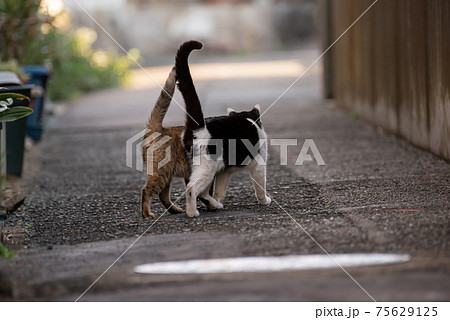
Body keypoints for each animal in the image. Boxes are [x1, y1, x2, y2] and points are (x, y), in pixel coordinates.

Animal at [174, 40, 268, 218]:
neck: (246, 117)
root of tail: (198, 126)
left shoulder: (225, 171)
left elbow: (220, 190)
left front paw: (217, 200)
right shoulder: (259, 164)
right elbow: (260, 186)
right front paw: (265, 201)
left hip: (205, 168)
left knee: (202, 192)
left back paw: (215, 205)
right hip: (206, 168)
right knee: (192, 189)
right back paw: (192, 212)